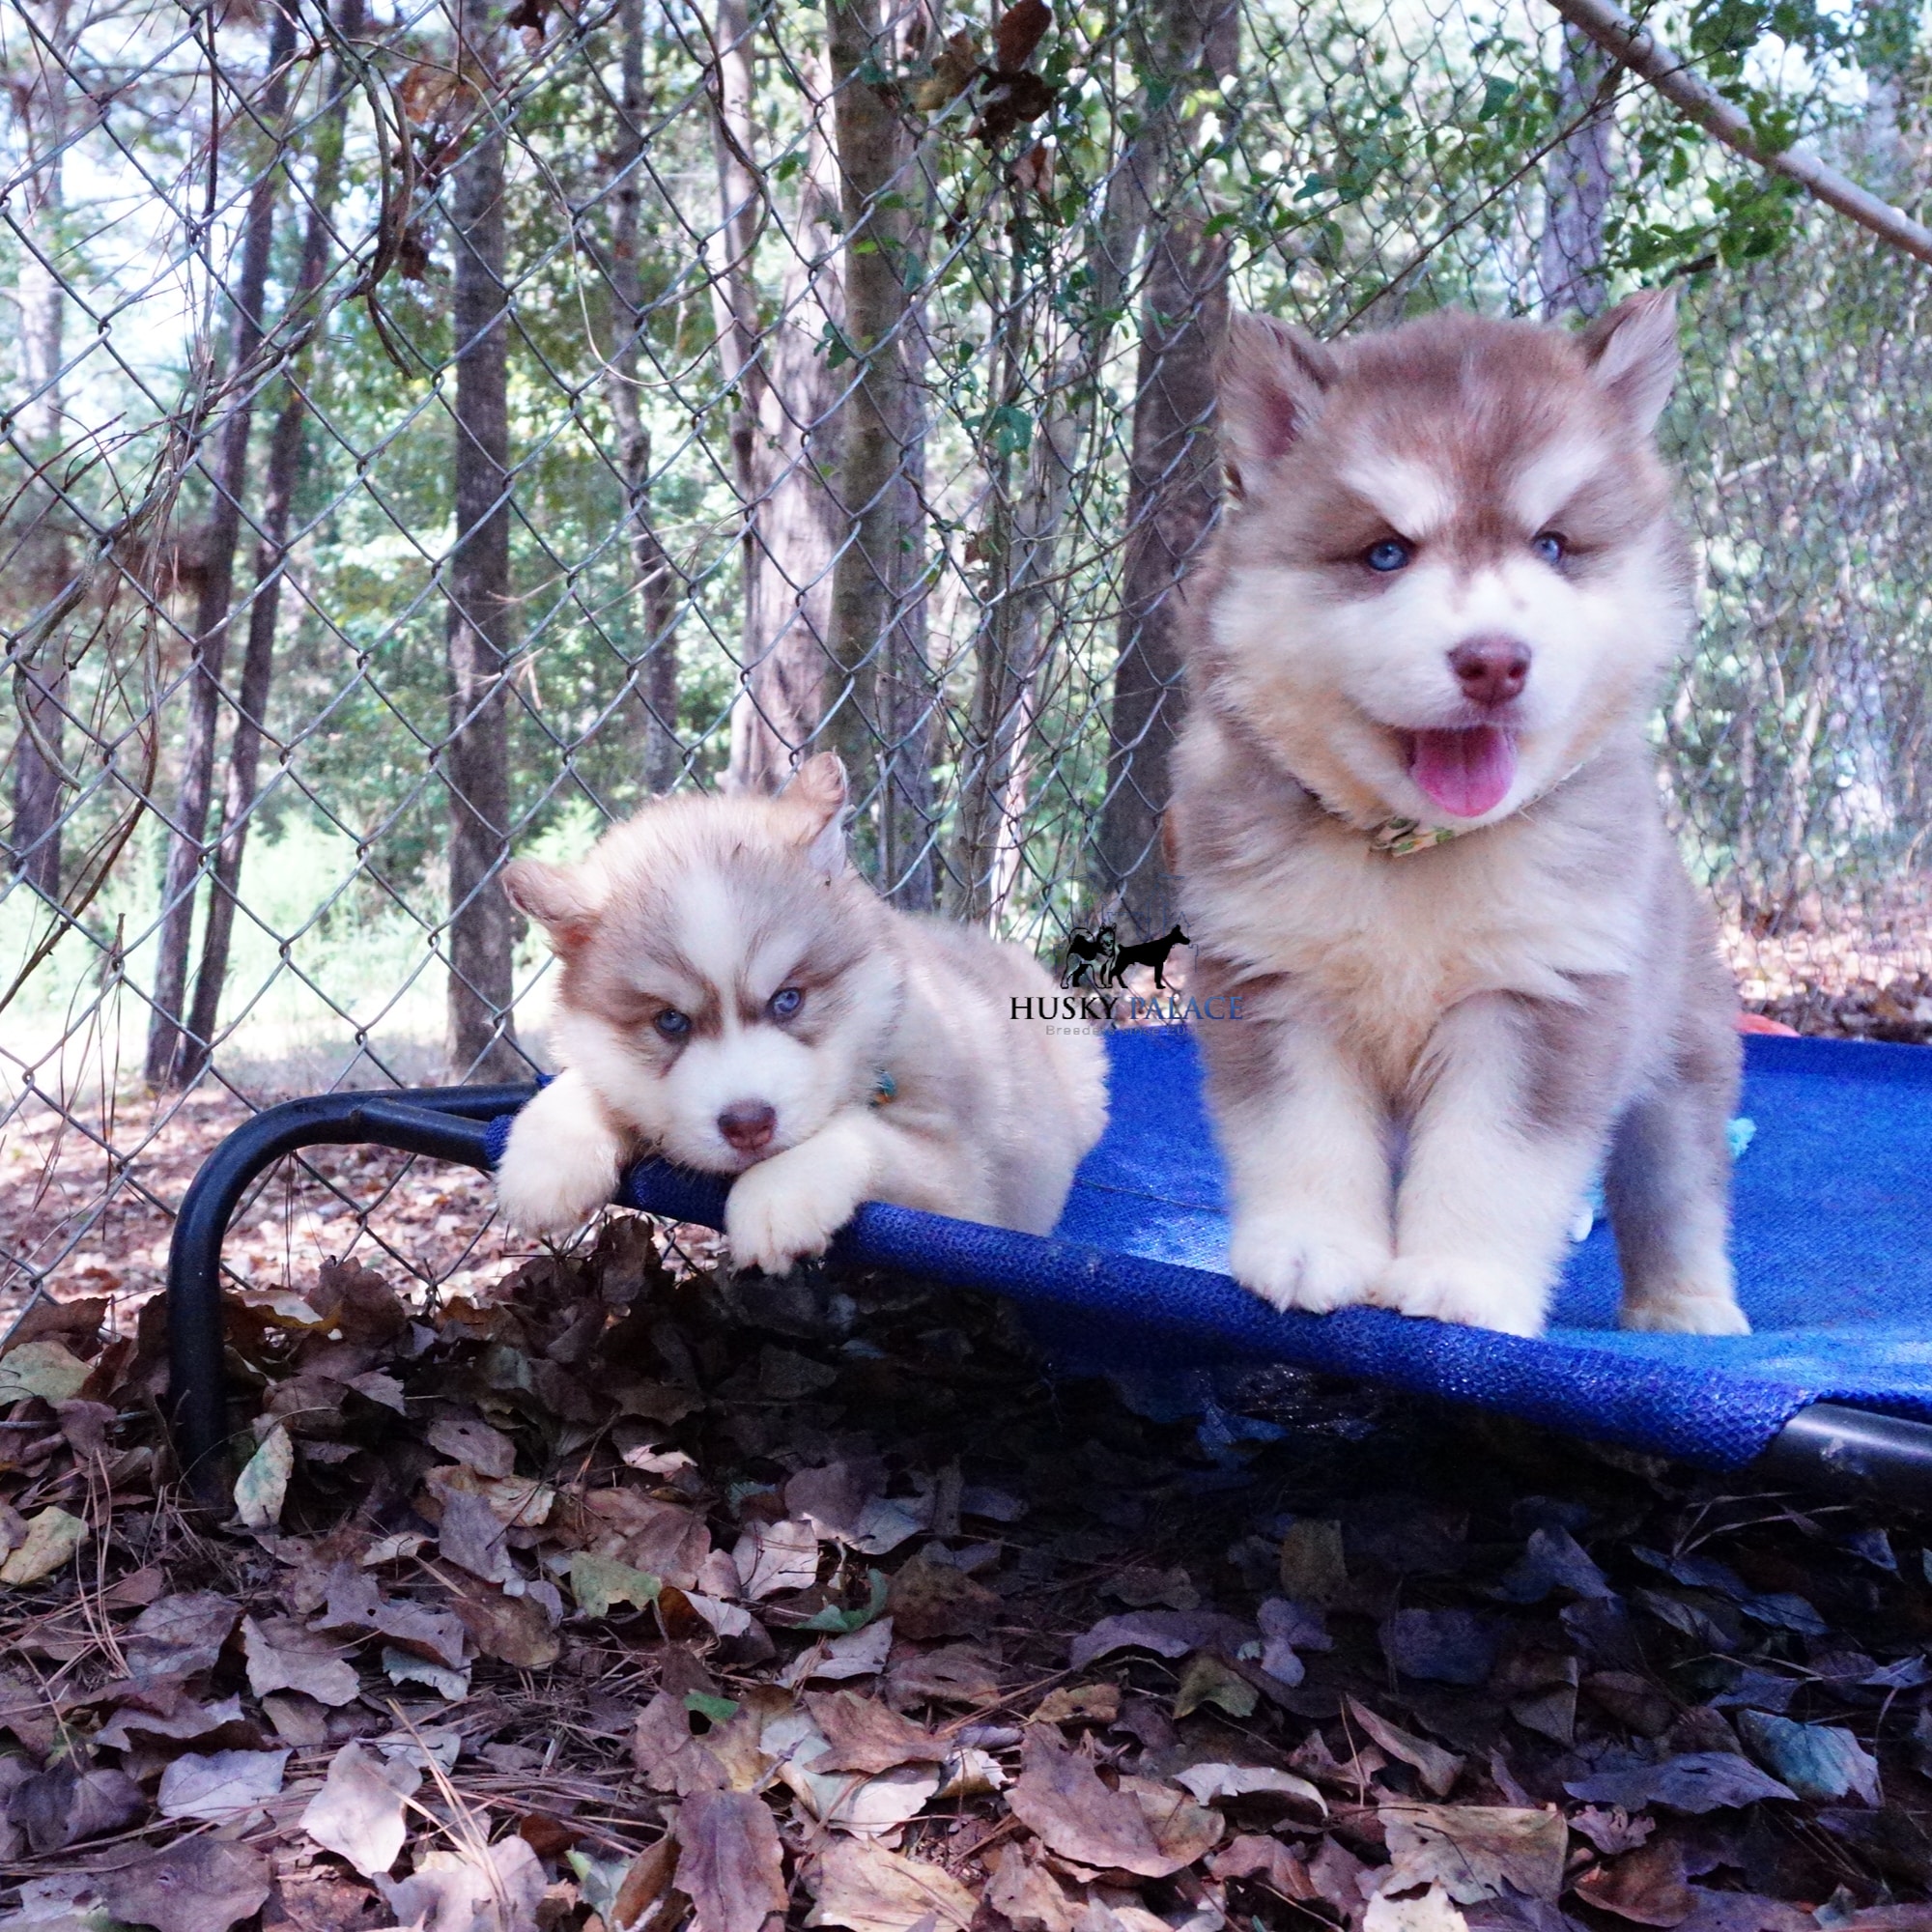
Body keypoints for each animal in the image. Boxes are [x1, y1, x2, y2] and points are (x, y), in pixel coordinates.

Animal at [491, 750, 1113, 1267]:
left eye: (787, 1000)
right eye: (670, 1021)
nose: (748, 1125)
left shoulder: (966, 1188)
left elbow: (862, 1132)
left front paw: (777, 1192)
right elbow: (588, 1083)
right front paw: (548, 1154)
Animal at [1159, 290, 1754, 1345]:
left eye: (1552, 545)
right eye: (1384, 552)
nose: (1493, 660)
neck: (1411, 851)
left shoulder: (1543, 998)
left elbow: (1495, 1157)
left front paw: (1459, 1282)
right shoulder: (1273, 983)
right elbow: (1301, 1133)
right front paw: (1312, 1249)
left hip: (1679, 1056)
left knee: (1676, 1185)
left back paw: (1685, 1305)